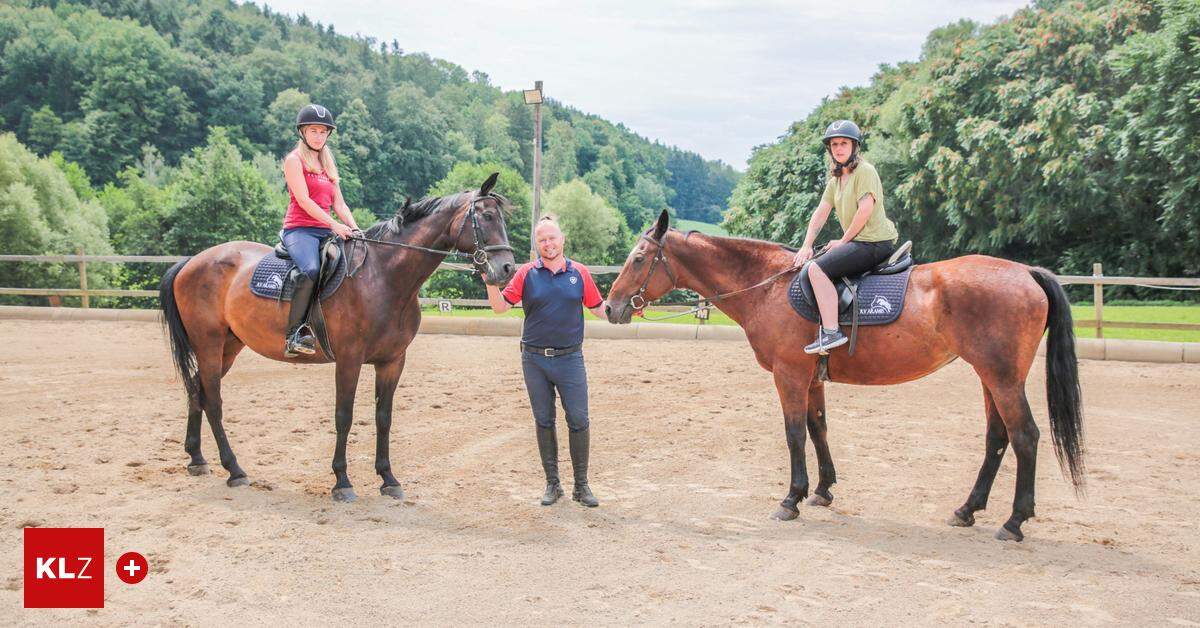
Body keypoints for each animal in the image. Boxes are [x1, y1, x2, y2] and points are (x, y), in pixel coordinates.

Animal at [159, 174, 516, 504]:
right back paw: (234, 469)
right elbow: (344, 416)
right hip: (208, 343)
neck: (382, 277)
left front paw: (388, 479)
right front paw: (342, 482)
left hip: (229, 346)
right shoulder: (349, 359)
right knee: (213, 400)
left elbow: (383, 418)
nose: (507, 269)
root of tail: (192, 261)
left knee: (197, 389)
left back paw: (197, 458)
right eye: (486, 217)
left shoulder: (392, 361)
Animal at [604, 211, 1084, 540]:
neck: (769, 287)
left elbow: (794, 433)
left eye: (640, 258)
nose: (610, 307)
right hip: (990, 377)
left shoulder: (789, 376)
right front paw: (822, 489)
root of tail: (1026, 272)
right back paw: (968, 509)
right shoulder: (812, 378)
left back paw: (1014, 520)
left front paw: (791, 498)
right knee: (997, 438)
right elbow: (818, 428)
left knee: (1025, 437)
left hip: (1003, 378)